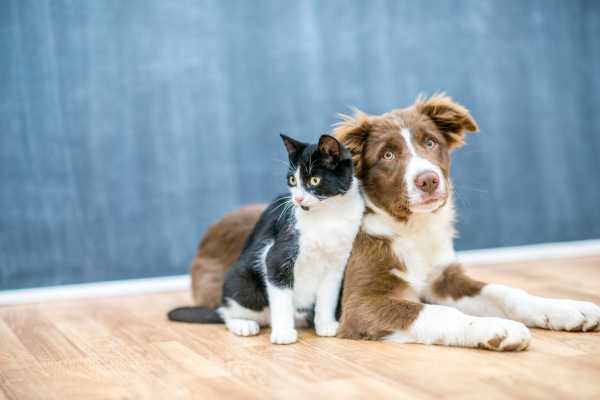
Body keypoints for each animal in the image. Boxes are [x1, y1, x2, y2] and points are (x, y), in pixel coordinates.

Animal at [169, 134, 366, 344]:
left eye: (314, 180)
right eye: (292, 179)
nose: (298, 199)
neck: (328, 216)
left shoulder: (337, 263)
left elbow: (328, 296)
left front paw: (326, 325)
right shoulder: (276, 256)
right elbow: (281, 296)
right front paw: (283, 334)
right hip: (242, 282)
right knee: (227, 312)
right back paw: (243, 324)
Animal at [189, 94, 600, 350]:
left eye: (430, 142)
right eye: (387, 155)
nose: (428, 180)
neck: (409, 230)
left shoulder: (444, 277)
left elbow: (506, 291)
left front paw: (567, 309)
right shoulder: (361, 302)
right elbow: (437, 313)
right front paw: (493, 328)